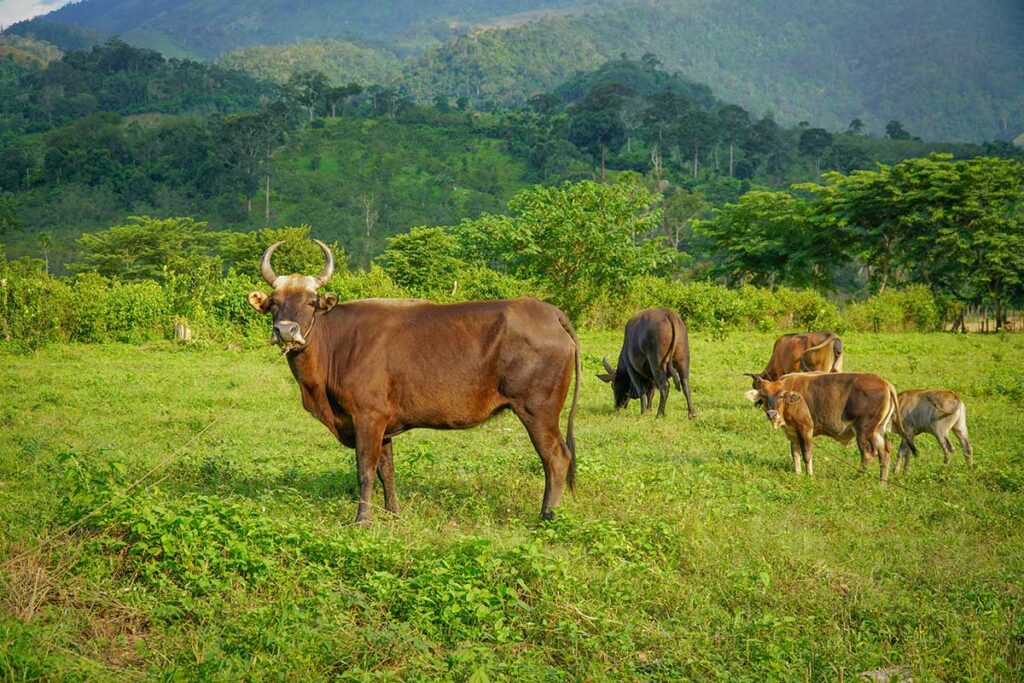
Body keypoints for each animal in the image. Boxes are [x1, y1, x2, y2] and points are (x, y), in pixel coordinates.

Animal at [247, 240, 581, 524]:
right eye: (274, 302)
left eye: (311, 301)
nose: (286, 330)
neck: (335, 348)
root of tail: (549, 312)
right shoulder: (384, 424)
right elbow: (387, 470)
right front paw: (393, 513)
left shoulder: (367, 417)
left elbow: (365, 470)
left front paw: (362, 519)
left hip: (538, 411)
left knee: (556, 458)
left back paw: (546, 516)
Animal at [743, 372, 917, 483]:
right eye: (764, 395)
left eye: (781, 396)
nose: (771, 413)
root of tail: (885, 384)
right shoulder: (793, 433)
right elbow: (795, 454)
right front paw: (797, 474)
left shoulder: (805, 429)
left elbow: (807, 454)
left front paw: (809, 475)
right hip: (878, 430)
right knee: (885, 453)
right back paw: (882, 482)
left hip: (864, 430)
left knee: (868, 454)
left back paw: (858, 476)